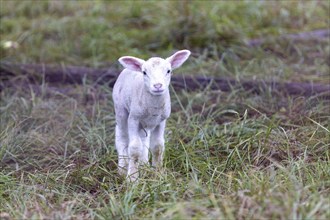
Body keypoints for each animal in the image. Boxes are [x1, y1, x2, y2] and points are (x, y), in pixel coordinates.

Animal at [113, 49, 191, 180]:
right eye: (144, 72)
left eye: (168, 71)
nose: (158, 86)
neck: (153, 107)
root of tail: (127, 69)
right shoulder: (133, 119)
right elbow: (134, 148)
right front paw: (132, 178)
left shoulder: (161, 121)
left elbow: (157, 146)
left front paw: (157, 174)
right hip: (120, 110)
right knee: (122, 138)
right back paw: (122, 169)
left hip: (144, 124)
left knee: (144, 140)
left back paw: (144, 166)